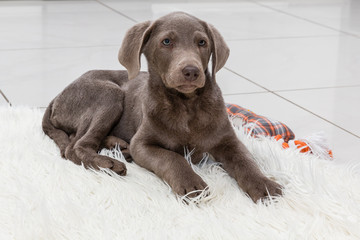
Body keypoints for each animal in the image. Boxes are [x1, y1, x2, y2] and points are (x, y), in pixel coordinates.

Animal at [42, 11, 282, 202]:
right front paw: (191, 184)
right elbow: (172, 157)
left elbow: (246, 161)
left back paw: (119, 146)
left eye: (202, 43)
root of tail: (57, 97)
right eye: (166, 42)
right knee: (75, 146)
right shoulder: (143, 144)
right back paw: (109, 163)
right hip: (109, 94)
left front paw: (264, 185)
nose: (191, 71)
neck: (186, 104)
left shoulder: (228, 140)